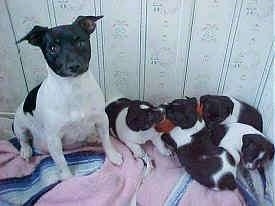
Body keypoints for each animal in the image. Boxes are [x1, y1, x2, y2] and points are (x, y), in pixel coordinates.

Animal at [12, 15, 123, 180]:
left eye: (80, 42)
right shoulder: (54, 138)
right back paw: (26, 151)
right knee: (24, 140)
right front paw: (69, 179)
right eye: (52, 48)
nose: (74, 66)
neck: (73, 88)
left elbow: (107, 141)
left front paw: (113, 156)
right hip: (19, 125)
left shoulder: (102, 119)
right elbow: (61, 162)